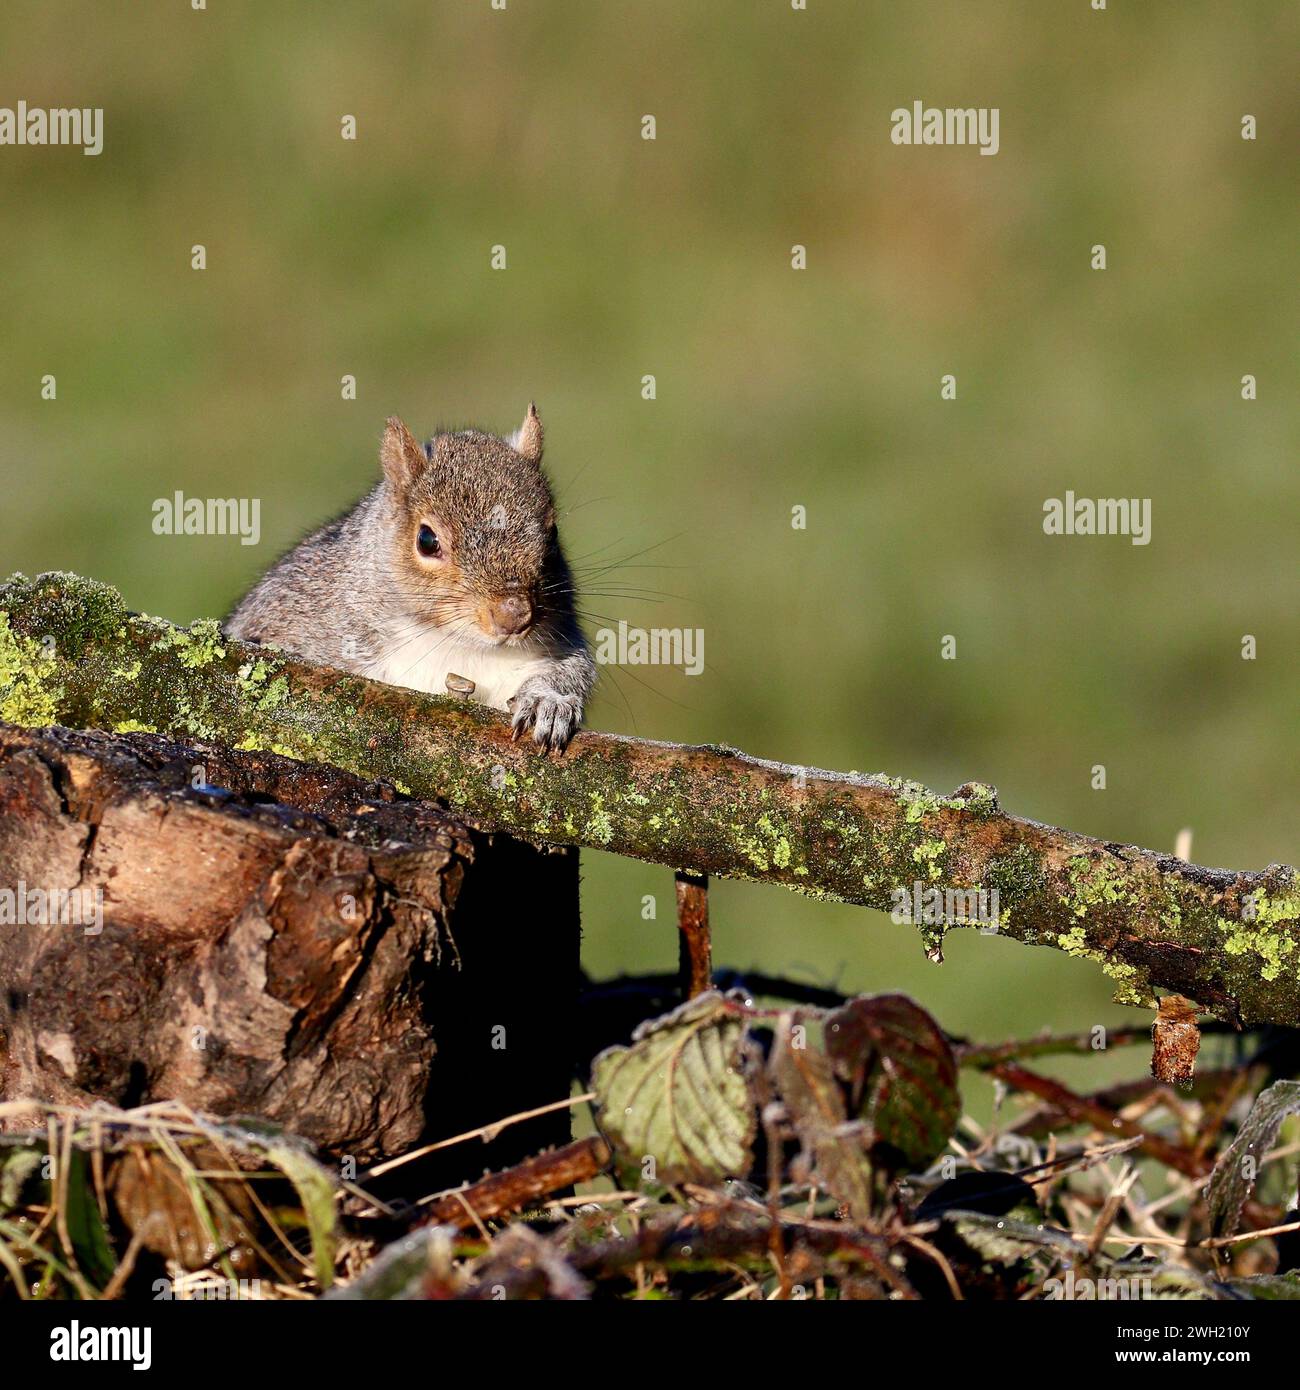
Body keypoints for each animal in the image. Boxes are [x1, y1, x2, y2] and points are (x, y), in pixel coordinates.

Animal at [226, 405, 595, 750]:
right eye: (427, 540)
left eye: (553, 533)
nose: (514, 616)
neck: (454, 644)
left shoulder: (559, 640)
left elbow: (573, 672)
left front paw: (547, 702)